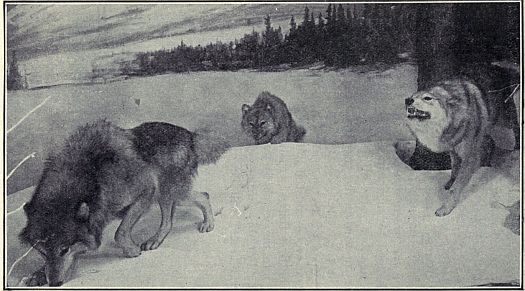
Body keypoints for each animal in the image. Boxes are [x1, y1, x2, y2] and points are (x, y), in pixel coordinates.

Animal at [18, 120, 227, 286]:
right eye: (42, 252)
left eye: (64, 249)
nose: (54, 284)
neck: (91, 176)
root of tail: (191, 136)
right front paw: (37, 274)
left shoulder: (145, 192)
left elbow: (119, 232)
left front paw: (131, 250)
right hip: (166, 194)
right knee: (169, 220)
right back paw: (155, 240)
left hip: (170, 190)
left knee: (203, 196)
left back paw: (207, 224)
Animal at [404, 66, 516, 217]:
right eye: (413, 96)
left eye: (427, 98)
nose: (407, 100)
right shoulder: (453, 148)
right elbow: (454, 168)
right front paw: (450, 182)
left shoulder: (470, 156)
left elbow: (457, 186)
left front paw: (446, 208)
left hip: (506, 125)